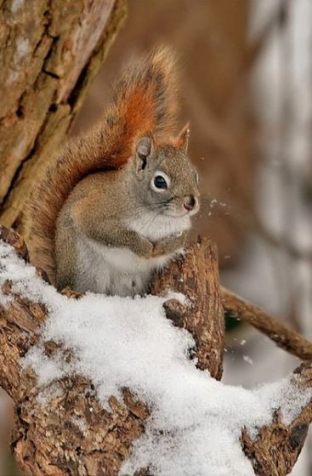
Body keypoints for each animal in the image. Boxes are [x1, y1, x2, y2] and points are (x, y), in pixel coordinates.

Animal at [23, 46, 200, 296]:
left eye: (195, 175)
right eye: (160, 182)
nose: (190, 204)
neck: (158, 215)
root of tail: (60, 276)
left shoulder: (181, 227)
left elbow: (179, 239)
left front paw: (162, 247)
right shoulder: (95, 213)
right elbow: (113, 232)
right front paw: (144, 248)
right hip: (86, 268)